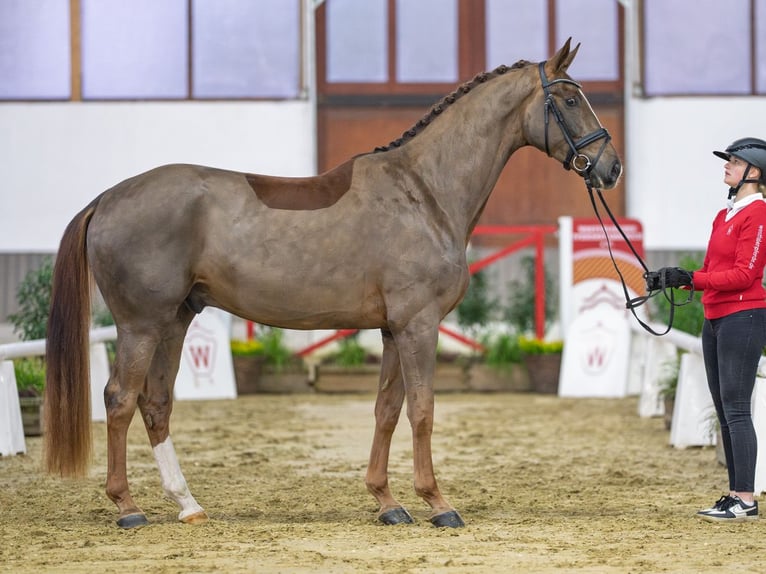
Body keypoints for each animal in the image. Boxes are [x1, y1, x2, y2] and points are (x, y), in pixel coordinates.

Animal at [44, 39, 622, 529]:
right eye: (570, 99)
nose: (611, 168)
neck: (425, 192)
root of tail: (108, 198)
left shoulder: (393, 330)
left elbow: (387, 411)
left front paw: (388, 503)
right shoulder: (419, 326)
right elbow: (423, 409)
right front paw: (438, 503)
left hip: (176, 320)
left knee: (156, 402)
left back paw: (188, 505)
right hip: (141, 324)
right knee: (120, 398)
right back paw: (128, 507)